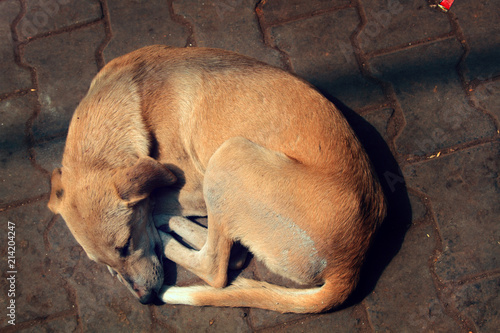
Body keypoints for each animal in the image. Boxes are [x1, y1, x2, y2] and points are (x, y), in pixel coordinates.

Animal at [47, 45, 386, 312]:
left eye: (126, 244)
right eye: (100, 262)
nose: (145, 300)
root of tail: (350, 263)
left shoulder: (191, 186)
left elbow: (156, 202)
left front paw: (157, 220)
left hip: (228, 159)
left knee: (216, 267)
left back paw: (167, 234)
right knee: (230, 252)